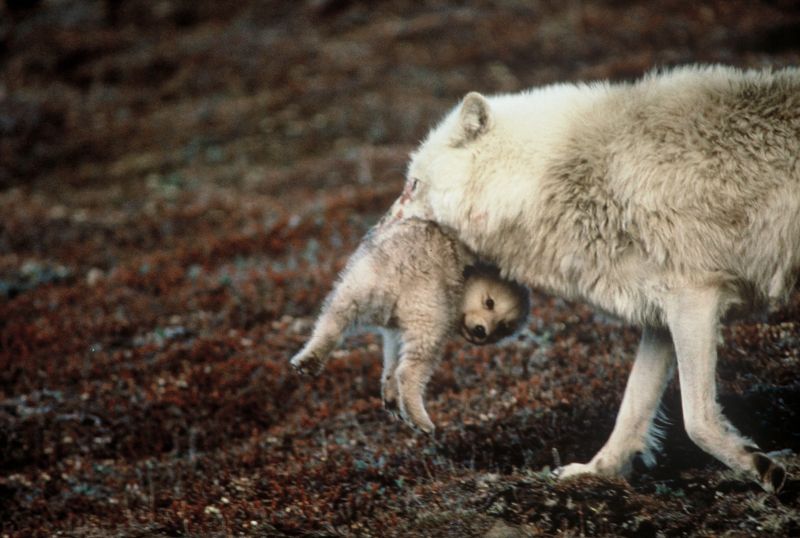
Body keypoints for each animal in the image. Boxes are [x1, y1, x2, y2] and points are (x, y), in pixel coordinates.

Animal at [290, 217, 529, 433]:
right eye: (489, 302)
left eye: (504, 327)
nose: (482, 332)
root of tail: (399, 272)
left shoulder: (393, 330)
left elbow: (391, 359)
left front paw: (389, 394)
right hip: (430, 315)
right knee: (410, 370)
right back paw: (421, 420)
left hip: (357, 287)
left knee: (332, 322)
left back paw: (309, 360)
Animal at [389, 65, 800, 491]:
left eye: (412, 185)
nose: (381, 228)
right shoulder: (661, 315)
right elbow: (632, 408)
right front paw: (596, 471)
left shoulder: (695, 298)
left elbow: (696, 418)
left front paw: (763, 467)